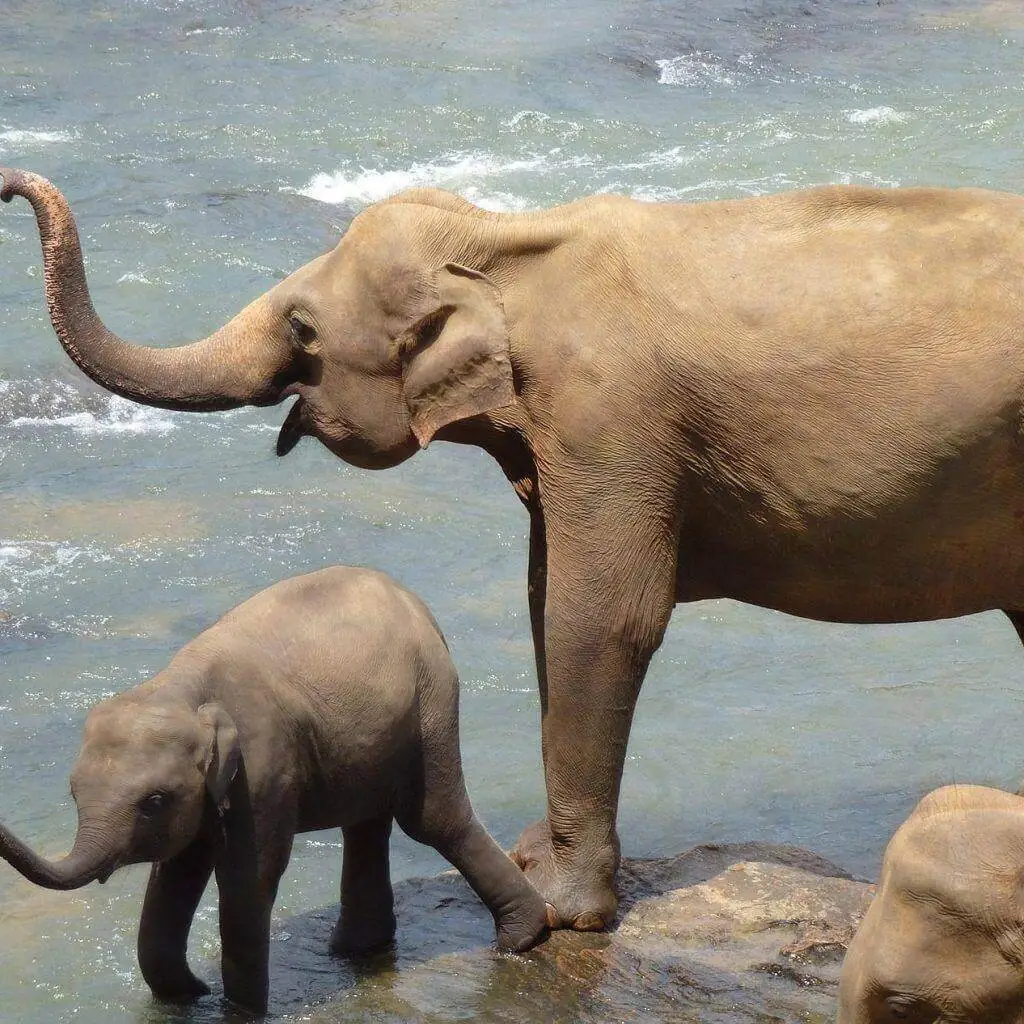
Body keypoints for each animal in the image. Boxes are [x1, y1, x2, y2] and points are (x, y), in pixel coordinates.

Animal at [0, 566, 548, 1014]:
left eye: (153, 801)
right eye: (73, 794)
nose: (202, 988)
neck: (180, 689)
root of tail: (415, 602)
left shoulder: (261, 767)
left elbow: (247, 878)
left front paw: (238, 1011)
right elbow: (176, 874)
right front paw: (188, 995)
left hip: (430, 702)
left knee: (432, 819)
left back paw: (521, 939)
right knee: (366, 823)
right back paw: (358, 951)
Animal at [6, 168, 1024, 933]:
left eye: (301, 330)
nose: (12, 182)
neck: (507, 240)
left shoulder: (610, 421)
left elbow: (597, 617)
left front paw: (564, 910)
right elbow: (540, 601)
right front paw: (534, 862)